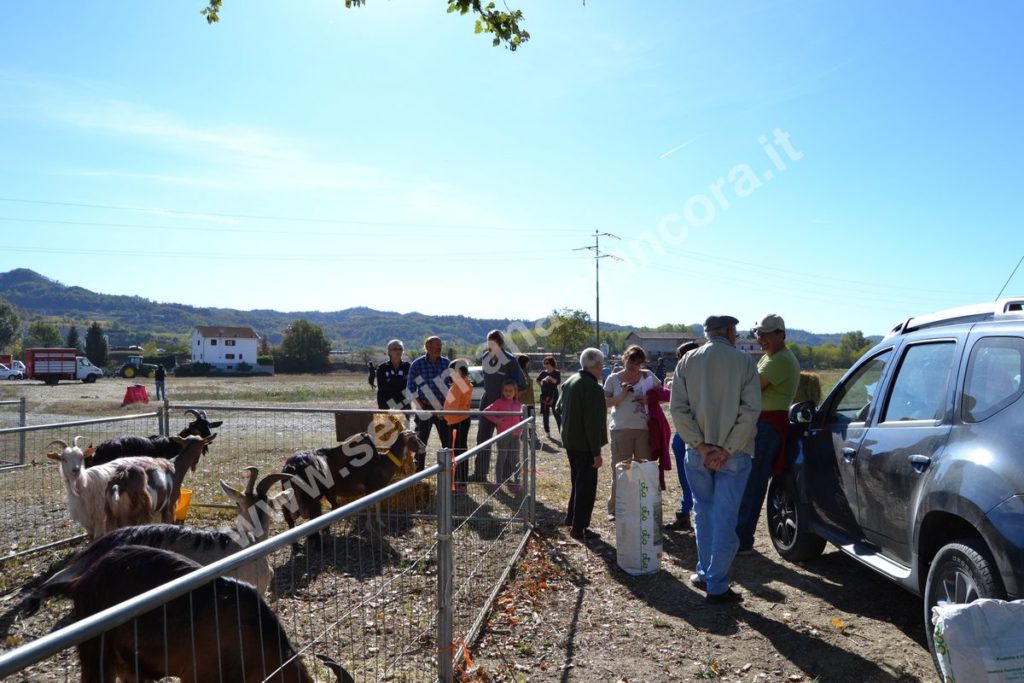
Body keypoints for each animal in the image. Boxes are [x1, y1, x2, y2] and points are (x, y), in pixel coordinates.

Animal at [50, 438, 215, 540]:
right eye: (63, 458)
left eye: (81, 457)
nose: (75, 470)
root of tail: (118, 484)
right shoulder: (169, 506)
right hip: (135, 516)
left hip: (114, 517)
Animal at [280, 430, 423, 548]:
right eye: (415, 439)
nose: (424, 448)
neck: (384, 462)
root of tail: (291, 467)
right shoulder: (370, 488)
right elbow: (369, 506)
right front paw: (369, 527)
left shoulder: (378, 489)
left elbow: (377, 505)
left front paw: (380, 523)